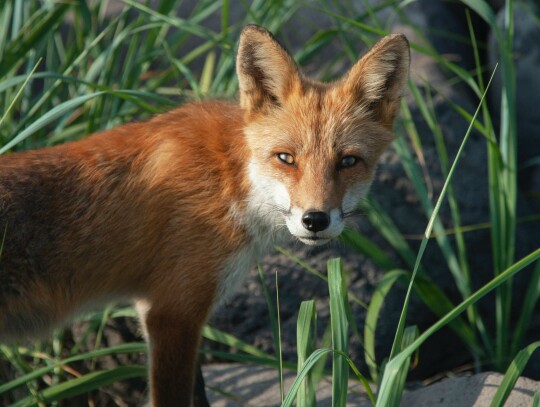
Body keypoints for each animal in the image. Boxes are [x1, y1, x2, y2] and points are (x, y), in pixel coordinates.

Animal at [0, 24, 410, 404]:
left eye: (348, 162)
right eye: (286, 158)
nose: (315, 220)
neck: (230, 178)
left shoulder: (179, 312)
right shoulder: (172, 312)